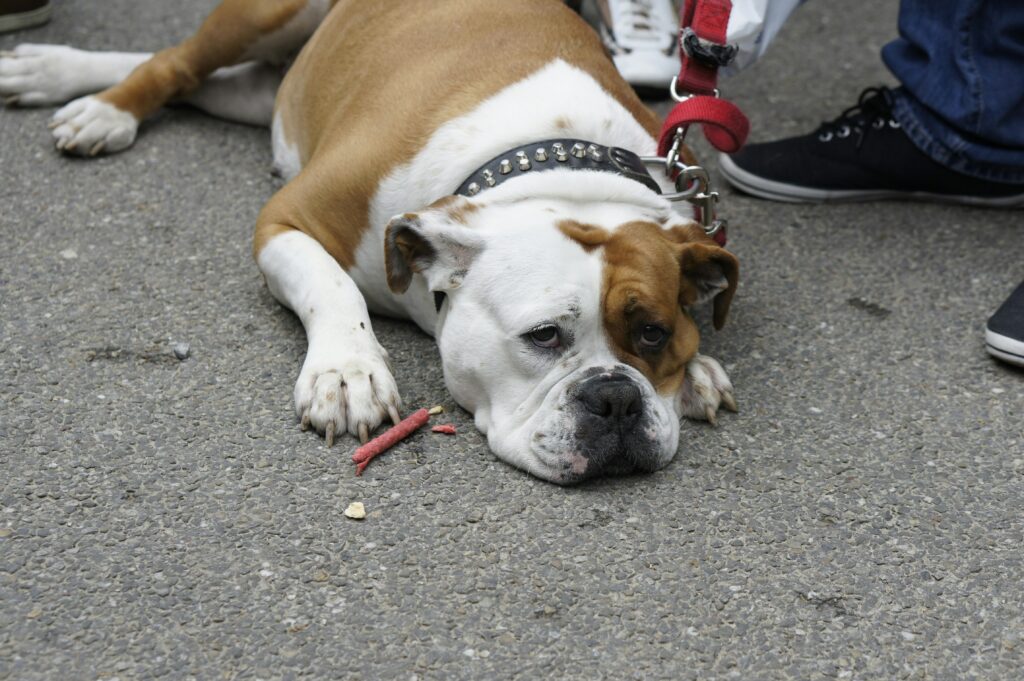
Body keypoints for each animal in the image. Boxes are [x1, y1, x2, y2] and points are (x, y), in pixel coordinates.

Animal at [0, 0, 737, 483]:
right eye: (544, 336)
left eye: (653, 333)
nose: (614, 398)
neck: (554, 166)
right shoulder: (286, 218)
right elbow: (332, 284)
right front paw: (348, 372)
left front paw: (697, 370)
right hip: (266, 13)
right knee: (176, 64)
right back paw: (96, 105)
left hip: (266, 88)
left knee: (208, 83)